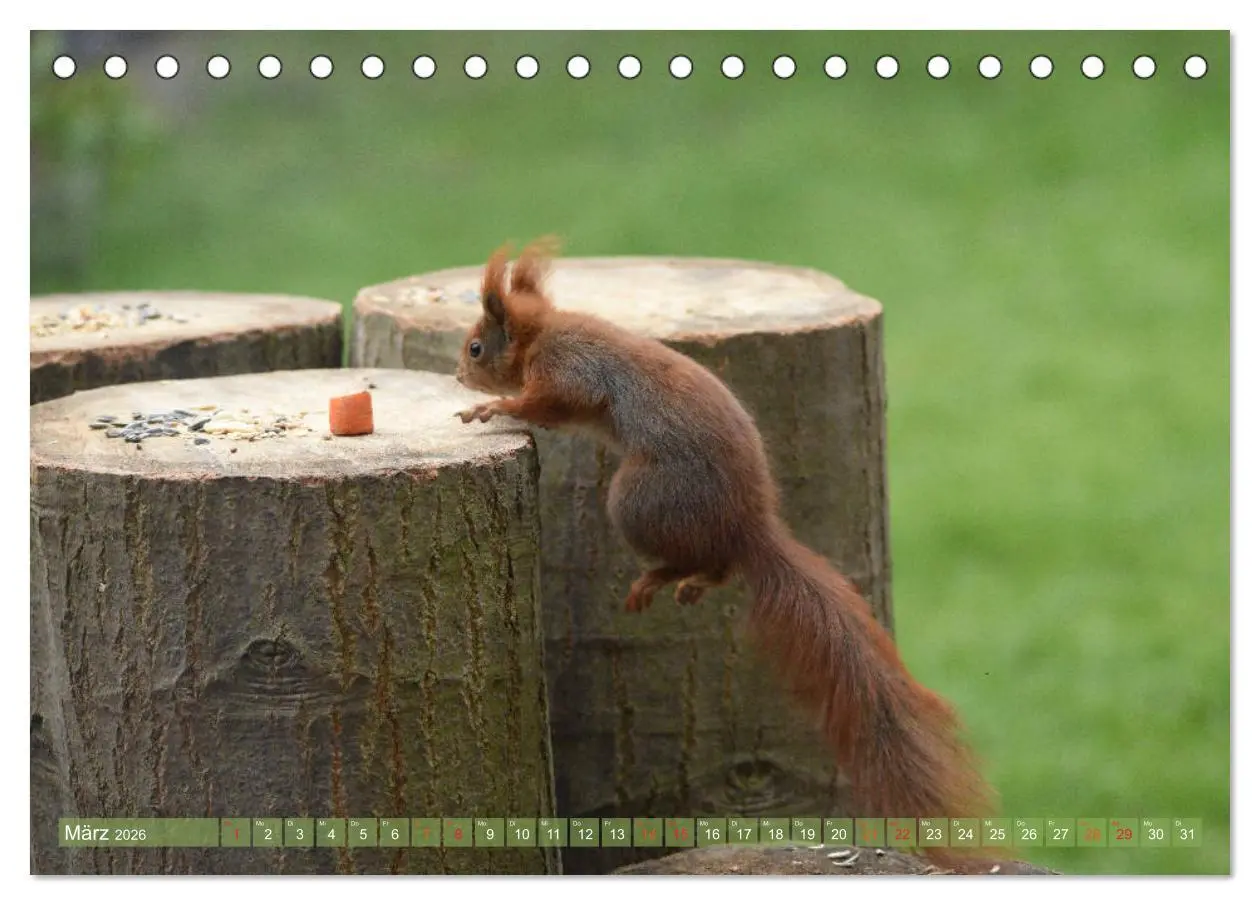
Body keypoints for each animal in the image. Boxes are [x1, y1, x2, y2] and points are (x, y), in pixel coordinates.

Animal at [455, 240, 998, 865]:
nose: (458, 373)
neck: (543, 332)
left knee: (706, 559)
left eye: (476, 346)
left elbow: (548, 401)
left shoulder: (569, 371)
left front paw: (491, 409)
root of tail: (748, 526)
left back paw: (664, 578)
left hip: (639, 500)